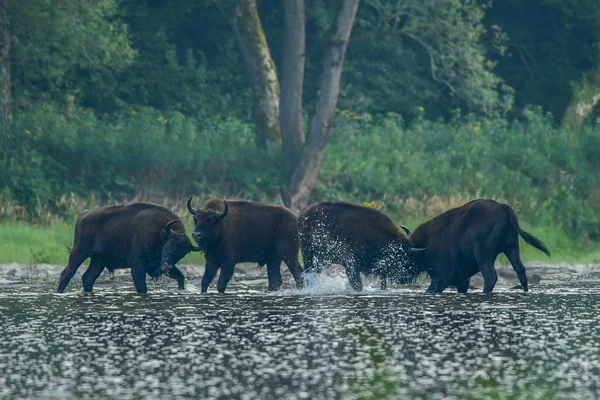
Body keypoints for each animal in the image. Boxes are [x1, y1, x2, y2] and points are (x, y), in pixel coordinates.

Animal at [55, 203, 199, 294]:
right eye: (169, 245)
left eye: (182, 254)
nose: (165, 267)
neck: (161, 232)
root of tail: (83, 216)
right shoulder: (138, 266)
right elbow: (141, 286)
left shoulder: (155, 266)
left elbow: (181, 277)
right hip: (79, 253)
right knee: (66, 274)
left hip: (98, 261)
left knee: (87, 278)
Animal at [400, 198, 552, 292]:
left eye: (404, 256)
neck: (424, 245)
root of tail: (502, 206)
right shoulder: (462, 280)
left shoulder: (442, 277)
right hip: (512, 248)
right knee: (520, 271)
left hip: (483, 253)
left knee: (490, 277)